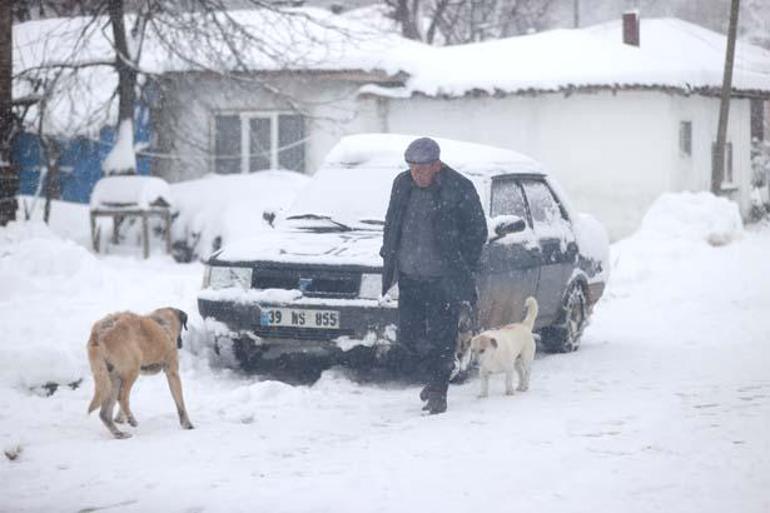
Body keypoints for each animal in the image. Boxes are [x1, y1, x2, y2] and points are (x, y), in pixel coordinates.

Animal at [86, 306, 192, 438]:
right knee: (122, 396)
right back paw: (131, 419)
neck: (162, 323)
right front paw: (187, 424)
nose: (180, 344)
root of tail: (98, 334)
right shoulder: (172, 373)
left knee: (105, 413)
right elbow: (180, 402)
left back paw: (119, 433)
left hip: (111, 378)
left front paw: (119, 418)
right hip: (132, 369)